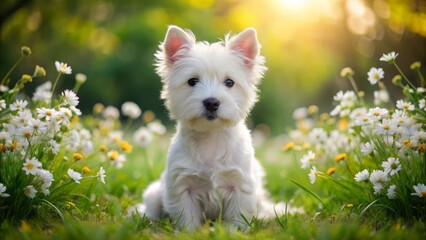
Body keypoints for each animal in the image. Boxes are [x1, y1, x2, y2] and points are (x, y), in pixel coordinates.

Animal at [138, 25, 282, 230]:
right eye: (192, 81)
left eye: (229, 82)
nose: (212, 103)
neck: (211, 137)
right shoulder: (183, 185)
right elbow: (187, 216)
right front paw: (189, 232)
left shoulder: (239, 184)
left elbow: (237, 215)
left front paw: (233, 231)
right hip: (154, 193)